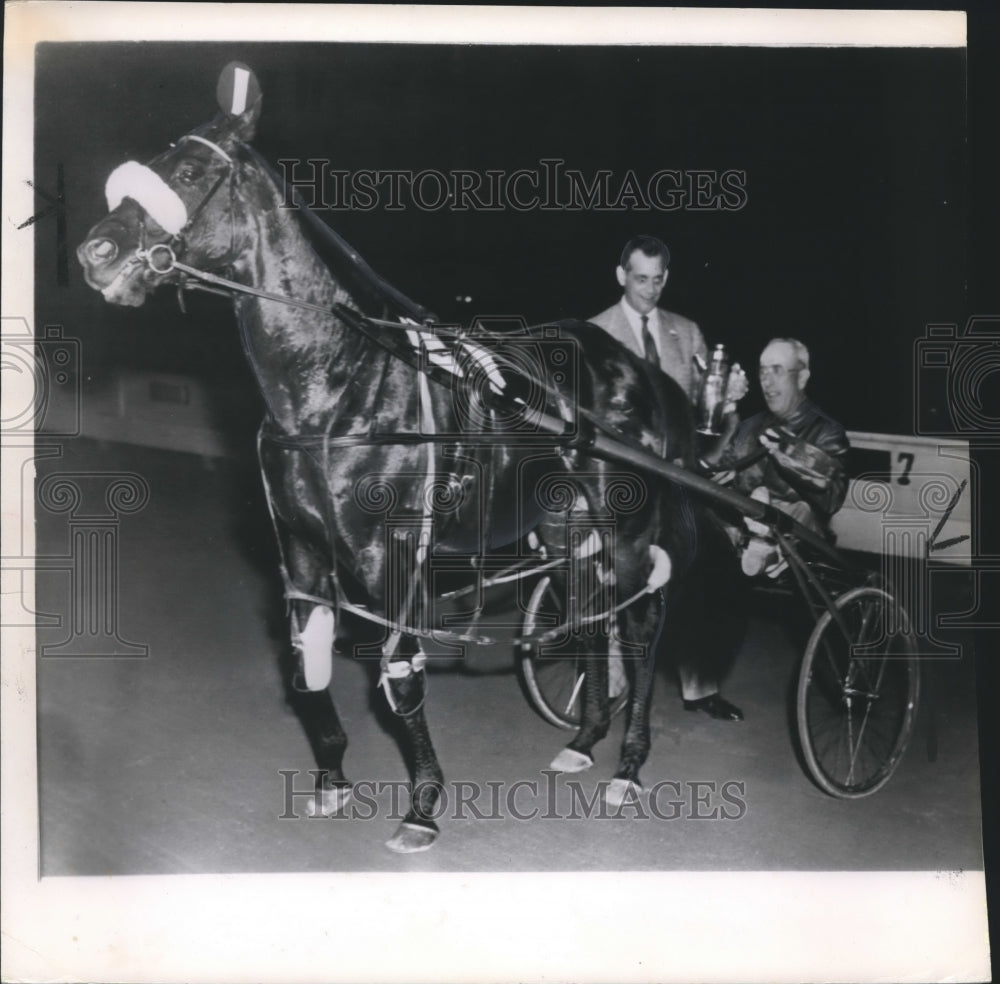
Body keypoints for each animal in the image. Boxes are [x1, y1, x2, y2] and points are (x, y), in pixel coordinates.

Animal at [78, 65, 700, 852]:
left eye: (187, 171)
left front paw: (423, 804)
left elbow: (400, 673)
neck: (334, 386)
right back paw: (585, 740)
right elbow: (306, 665)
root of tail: (640, 368)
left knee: (642, 627)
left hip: (626, 530)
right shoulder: (301, 551)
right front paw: (331, 781)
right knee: (590, 614)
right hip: (568, 531)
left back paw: (629, 764)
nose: (94, 252)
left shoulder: (388, 554)